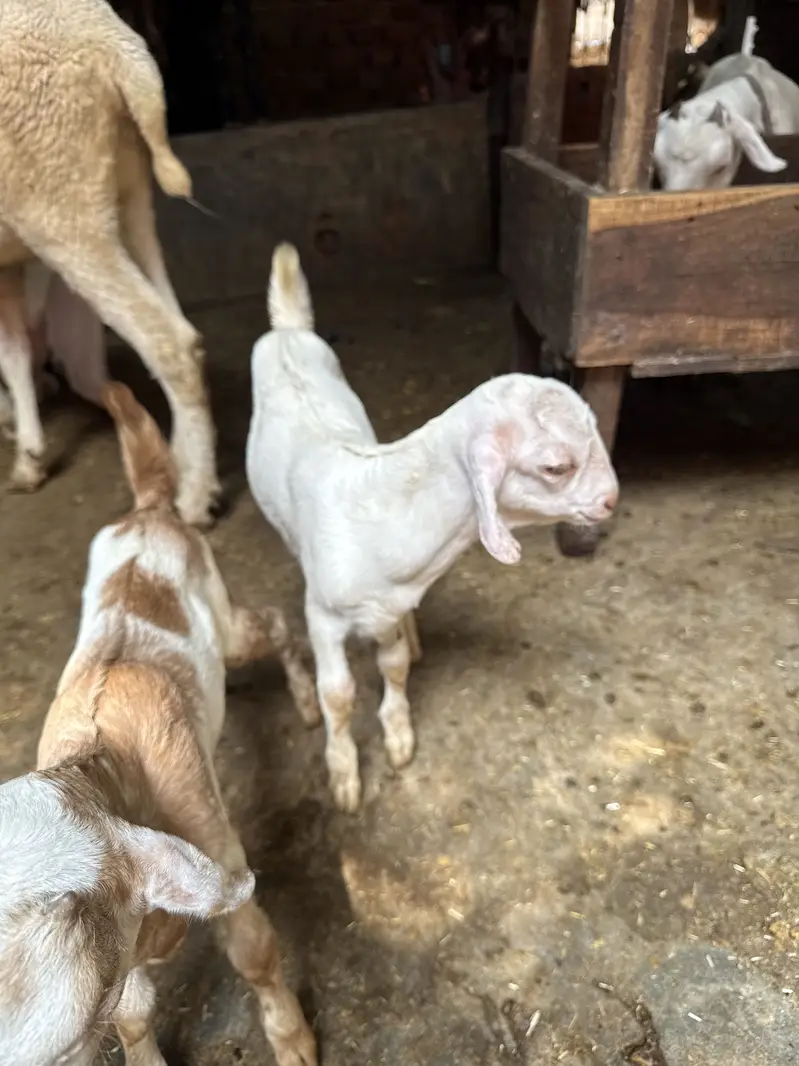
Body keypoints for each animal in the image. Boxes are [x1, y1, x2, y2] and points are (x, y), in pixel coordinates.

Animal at [0, 0, 219, 526]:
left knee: (168, 343)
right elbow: (13, 353)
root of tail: (118, 49)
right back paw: (181, 464)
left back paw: (194, 497)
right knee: (183, 332)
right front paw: (29, 452)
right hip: (129, 194)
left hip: (62, 208)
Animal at [0, 382, 318, 1066]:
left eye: (53, 1046)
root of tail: (149, 512)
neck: (105, 769)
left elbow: (255, 951)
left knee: (274, 624)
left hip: (227, 623)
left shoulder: (214, 840)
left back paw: (307, 700)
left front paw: (293, 1041)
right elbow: (133, 1012)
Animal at [246, 243, 619, 812]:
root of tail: (287, 331)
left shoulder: (389, 605)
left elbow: (395, 664)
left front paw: (399, 734)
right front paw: (344, 772)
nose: (611, 499)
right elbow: (337, 694)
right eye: (557, 466)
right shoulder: (323, 617)